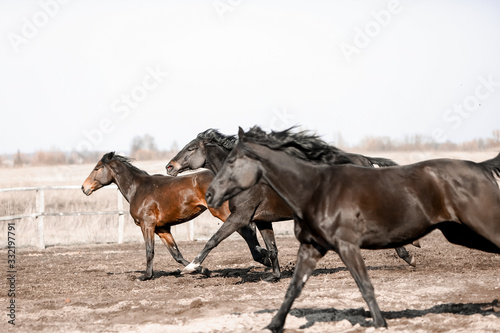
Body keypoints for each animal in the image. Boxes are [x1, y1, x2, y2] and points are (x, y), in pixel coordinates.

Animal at [82, 151, 272, 280]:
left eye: (97, 168)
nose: (84, 188)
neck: (137, 189)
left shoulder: (147, 224)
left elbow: (149, 251)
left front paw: (146, 276)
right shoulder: (162, 229)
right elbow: (176, 254)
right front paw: (202, 270)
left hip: (223, 212)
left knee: (247, 231)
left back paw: (264, 259)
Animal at [166, 128, 416, 278]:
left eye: (190, 148)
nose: (169, 166)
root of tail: (363, 159)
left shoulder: (240, 217)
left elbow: (213, 239)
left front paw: (192, 266)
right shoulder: (262, 219)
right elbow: (271, 248)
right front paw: (274, 275)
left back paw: (408, 255)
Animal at [205, 126, 500, 330]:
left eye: (232, 161)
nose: (209, 194)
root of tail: (479, 167)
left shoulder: (345, 244)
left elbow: (364, 285)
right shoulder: (300, 240)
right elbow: (288, 277)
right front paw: (273, 315)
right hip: (460, 232)